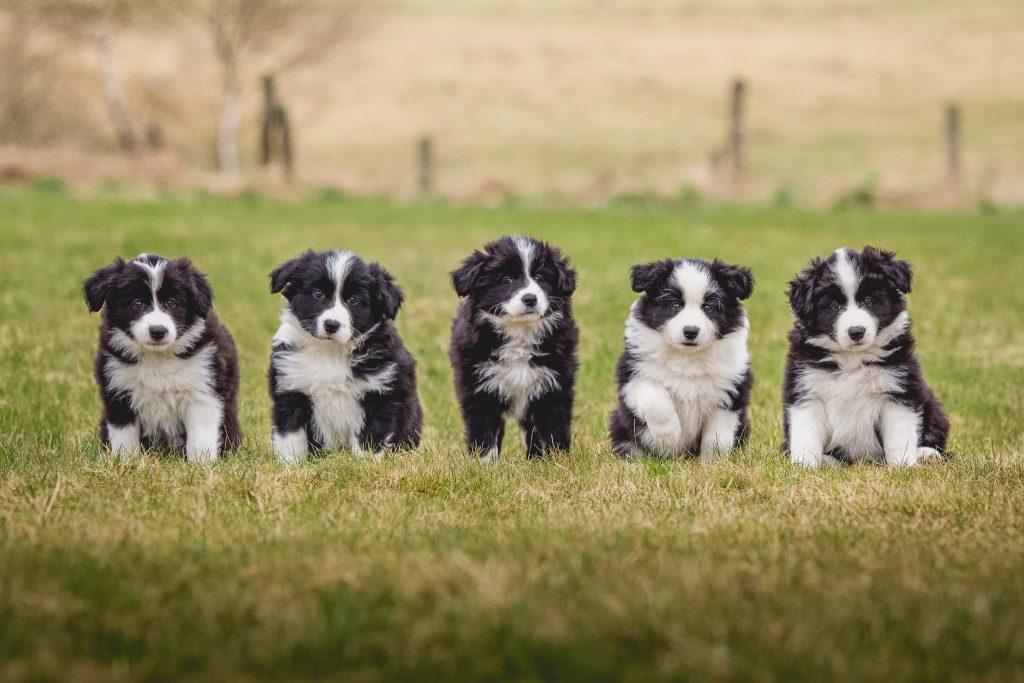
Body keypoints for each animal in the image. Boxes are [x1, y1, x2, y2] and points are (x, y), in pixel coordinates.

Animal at [82, 253, 242, 462]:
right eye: (137, 303)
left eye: (172, 302)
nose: (158, 331)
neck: (157, 357)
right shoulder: (119, 392)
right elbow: (124, 438)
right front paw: (125, 463)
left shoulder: (202, 391)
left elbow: (200, 438)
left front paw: (201, 465)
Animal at [268, 248, 423, 462]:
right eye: (318, 294)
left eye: (354, 300)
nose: (331, 325)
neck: (331, 352)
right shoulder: (291, 387)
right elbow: (291, 434)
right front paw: (291, 464)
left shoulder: (382, 393)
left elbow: (371, 435)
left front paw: (364, 464)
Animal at [448, 236, 577, 464]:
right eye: (506, 280)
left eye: (540, 277)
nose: (530, 299)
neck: (519, 334)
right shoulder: (480, 388)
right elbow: (484, 430)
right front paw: (485, 464)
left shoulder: (554, 386)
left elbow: (554, 428)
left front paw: (557, 462)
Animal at [606, 259, 753, 462]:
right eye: (675, 305)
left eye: (709, 307)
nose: (690, 331)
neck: (687, 357)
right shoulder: (633, 375)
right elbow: (655, 399)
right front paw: (669, 436)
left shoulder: (731, 391)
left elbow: (718, 435)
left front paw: (713, 463)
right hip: (621, 426)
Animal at [782, 246, 950, 471]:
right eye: (834, 305)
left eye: (868, 300)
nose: (856, 331)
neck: (853, 358)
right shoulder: (807, 389)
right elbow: (805, 435)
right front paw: (804, 466)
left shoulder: (898, 390)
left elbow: (899, 435)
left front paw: (903, 466)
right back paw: (827, 461)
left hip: (932, 406)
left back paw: (926, 454)